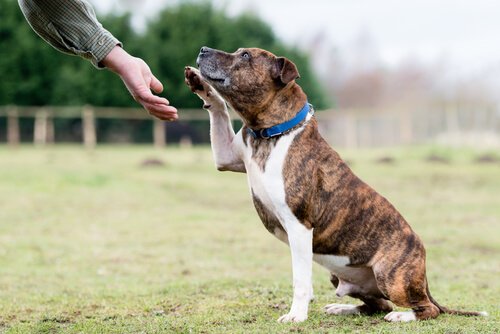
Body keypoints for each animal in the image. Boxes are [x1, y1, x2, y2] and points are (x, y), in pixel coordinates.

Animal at [183, 47, 484, 324]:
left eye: (245, 56)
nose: (203, 50)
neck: (271, 133)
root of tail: (421, 259)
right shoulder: (226, 157)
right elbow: (220, 110)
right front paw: (201, 84)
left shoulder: (299, 227)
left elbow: (300, 280)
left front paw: (296, 315)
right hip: (342, 276)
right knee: (377, 305)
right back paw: (343, 308)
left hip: (391, 276)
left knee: (426, 309)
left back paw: (402, 316)